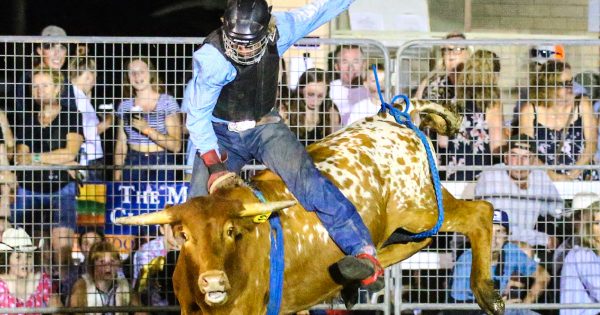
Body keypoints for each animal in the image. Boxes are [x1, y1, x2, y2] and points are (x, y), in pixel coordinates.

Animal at [117, 102, 506, 315]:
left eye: (231, 231)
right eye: (183, 236)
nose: (213, 280)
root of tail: (395, 118)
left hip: (422, 205)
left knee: (480, 213)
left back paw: (486, 291)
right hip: (407, 221)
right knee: (414, 241)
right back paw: (354, 277)